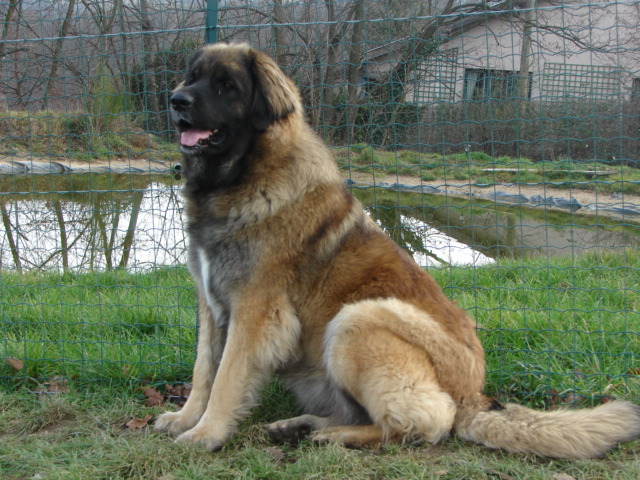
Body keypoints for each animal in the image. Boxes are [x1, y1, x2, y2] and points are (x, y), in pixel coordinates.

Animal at [154, 43, 640, 458]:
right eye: (193, 78)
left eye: (226, 86)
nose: (176, 100)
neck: (241, 178)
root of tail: (474, 396)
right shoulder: (212, 304)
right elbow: (204, 369)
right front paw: (185, 418)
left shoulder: (257, 311)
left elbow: (227, 377)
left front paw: (206, 434)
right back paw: (304, 425)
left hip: (359, 318)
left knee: (426, 421)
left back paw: (334, 435)